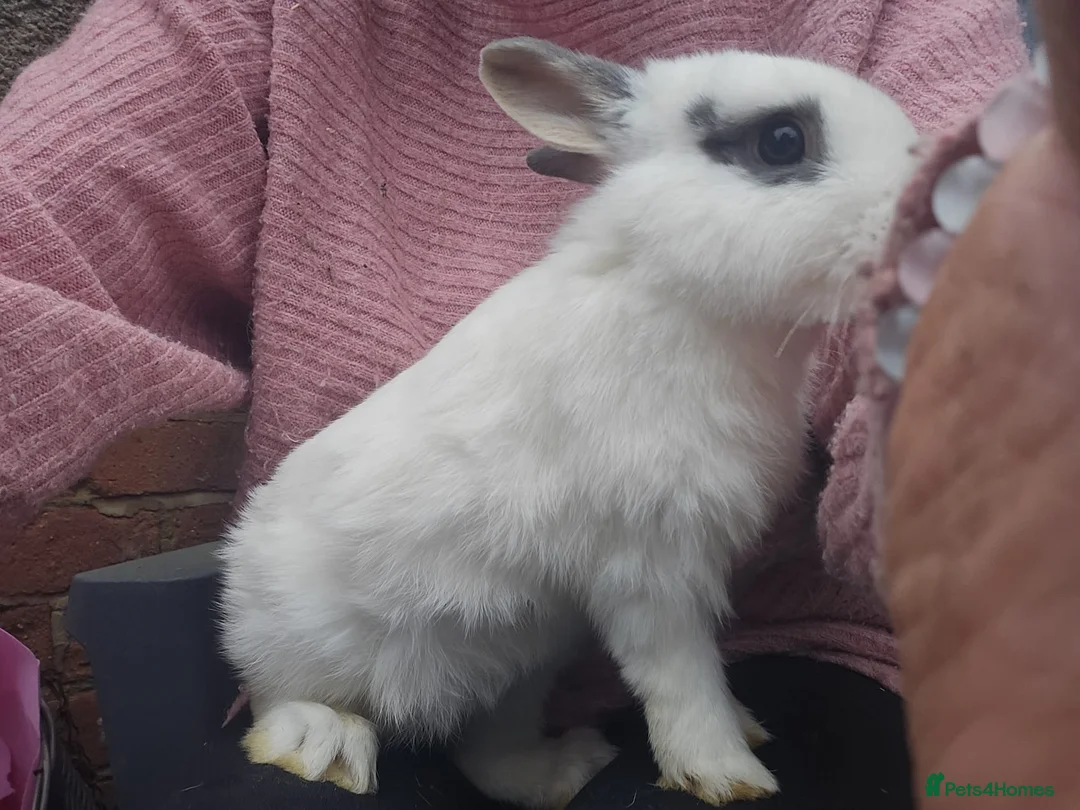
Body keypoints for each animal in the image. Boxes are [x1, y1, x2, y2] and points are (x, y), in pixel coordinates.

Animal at [217, 36, 918, 810]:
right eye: (782, 141)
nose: (918, 208)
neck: (684, 301)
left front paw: (741, 730)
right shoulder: (650, 562)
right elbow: (679, 675)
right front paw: (725, 773)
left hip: (519, 655)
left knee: (487, 751)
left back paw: (561, 770)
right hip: (313, 645)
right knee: (278, 698)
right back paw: (324, 745)